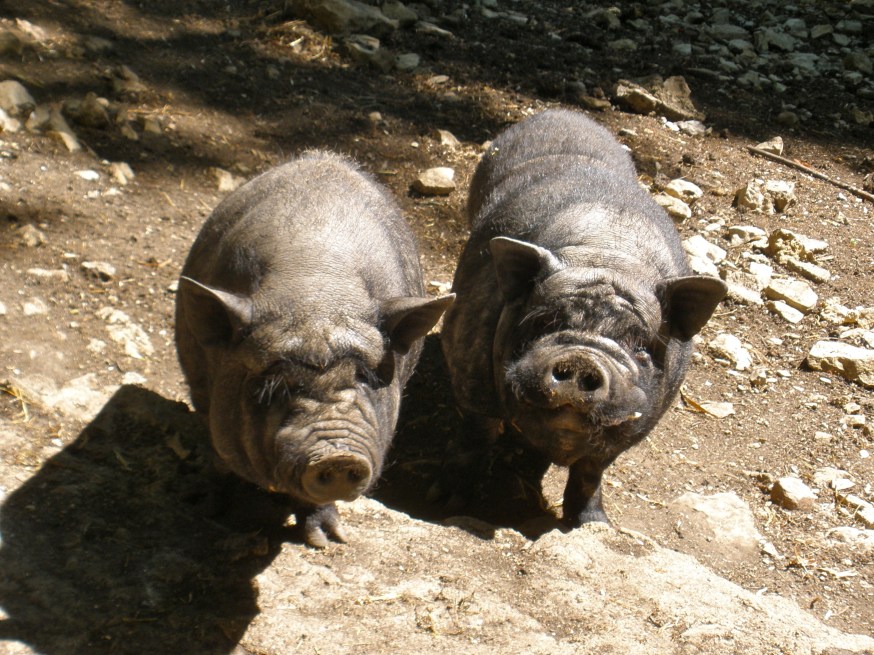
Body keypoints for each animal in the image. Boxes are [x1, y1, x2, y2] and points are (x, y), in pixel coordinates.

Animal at [175, 151, 453, 547]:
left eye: (365, 377)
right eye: (276, 386)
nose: (337, 457)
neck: (315, 290)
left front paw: (329, 540)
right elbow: (217, 451)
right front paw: (208, 510)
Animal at [439, 110, 726, 527]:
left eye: (641, 347)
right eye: (544, 323)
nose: (581, 359)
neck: (606, 255)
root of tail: (561, 112)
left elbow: (591, 470)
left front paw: (593, 524)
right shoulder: (469, 367)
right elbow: (473, 439)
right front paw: (446, 505)